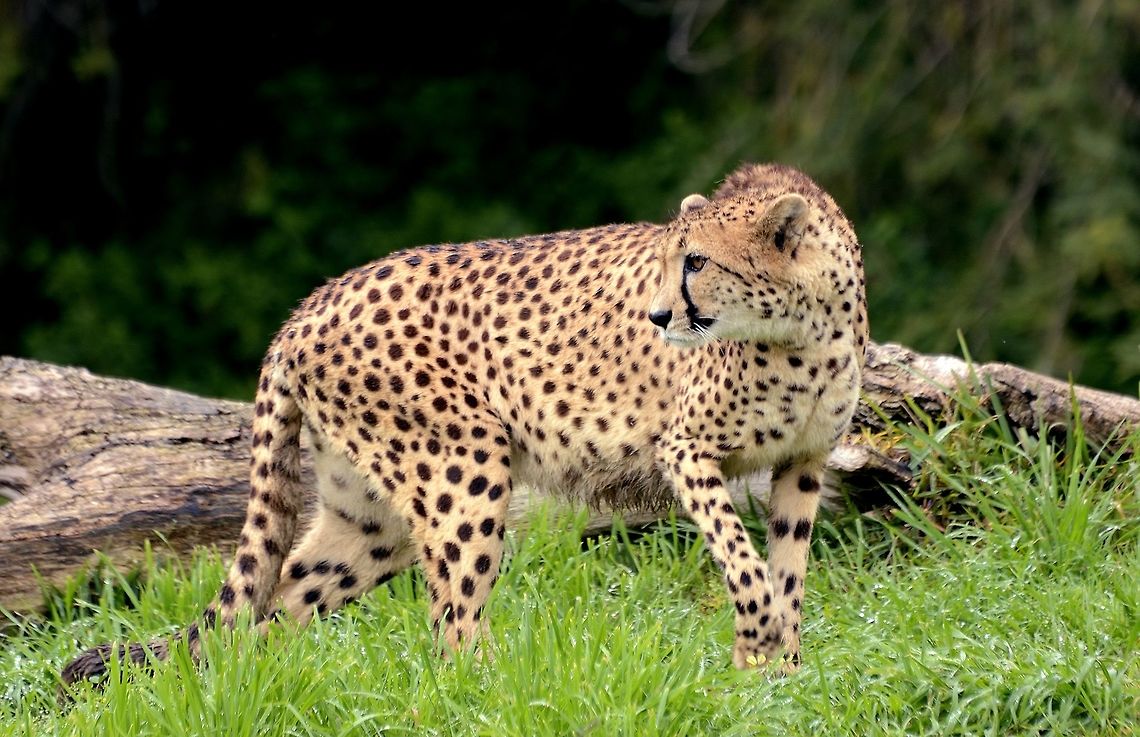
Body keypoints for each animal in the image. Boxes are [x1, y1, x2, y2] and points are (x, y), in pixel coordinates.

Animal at [61, 162, 866, 688]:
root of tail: (309, 304)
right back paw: (492, 692)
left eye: (696, 261)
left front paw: (781, 674)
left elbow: (787, 569)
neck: (801, 328)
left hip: (370, 519)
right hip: (466, 467)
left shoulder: (803, 464)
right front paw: (760, 645)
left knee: (282, 597)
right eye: (672, 261)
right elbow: (745, 561)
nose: (658, 315)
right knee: (450, 620)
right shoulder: (687, 450)